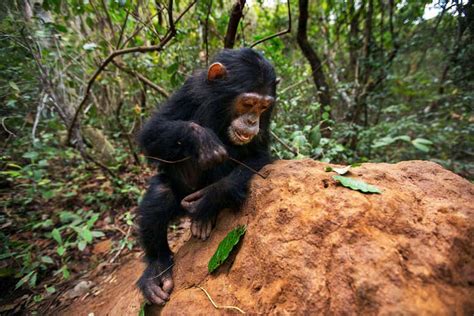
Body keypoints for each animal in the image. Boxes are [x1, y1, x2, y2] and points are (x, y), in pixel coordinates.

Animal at [137, 48, 276, 304]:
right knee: (161, 194)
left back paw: (204, 217)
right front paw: (202, 139)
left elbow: (259, 155)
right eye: (248, 103)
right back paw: (157, 271)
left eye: (263, 107)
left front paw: (212, 196)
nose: (252, 121)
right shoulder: (190, 89)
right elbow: (152, 131)